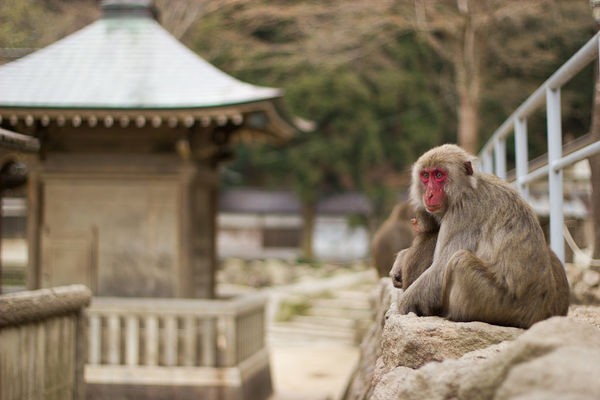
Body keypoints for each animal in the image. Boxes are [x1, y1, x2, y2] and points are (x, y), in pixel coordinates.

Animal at [396, 144, 568, 328]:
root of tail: (539, 313)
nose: (429, 194)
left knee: (460, 261)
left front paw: (403, 304)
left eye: (439, 175)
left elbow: (439, 271)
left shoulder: (463, 213)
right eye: (426, 176)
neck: (466, 189)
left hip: (499, 303)